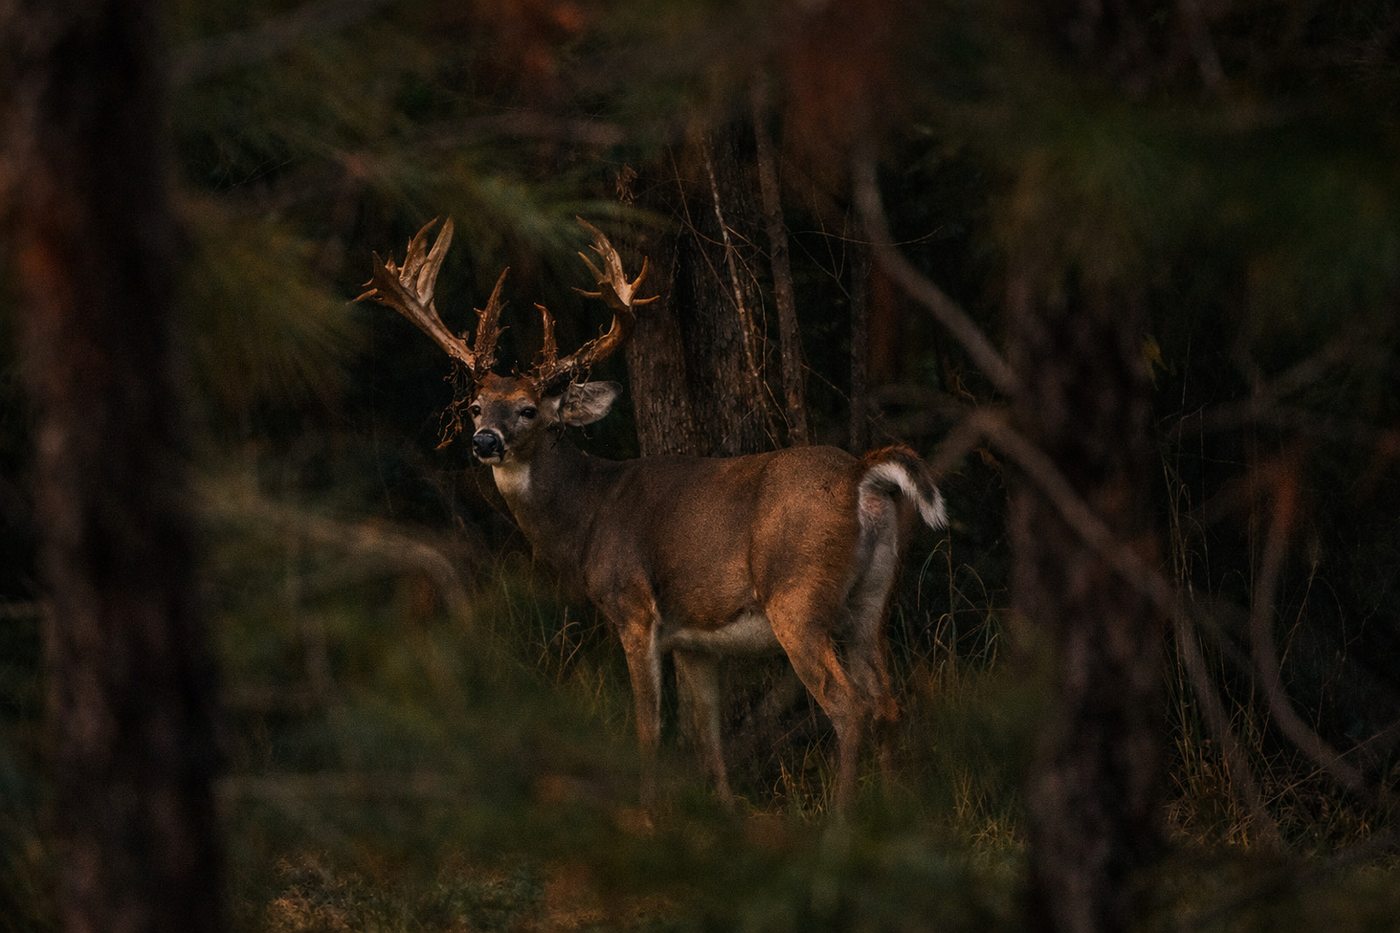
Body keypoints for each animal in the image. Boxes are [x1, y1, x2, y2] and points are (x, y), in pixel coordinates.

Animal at [357, 217, 947, 813]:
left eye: (528, 410)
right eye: (477, 406)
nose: (484, 441)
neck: (588, 516)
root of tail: (861, 476)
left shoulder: (634, 607)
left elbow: (648, 727)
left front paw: (645, 818)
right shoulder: (695, 639)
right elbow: (706, 736)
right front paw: (723, 812)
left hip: (797, 595)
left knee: (849, 706)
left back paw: (840, 821)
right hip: (871, 598)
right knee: (888, 702)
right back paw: (893, 811)